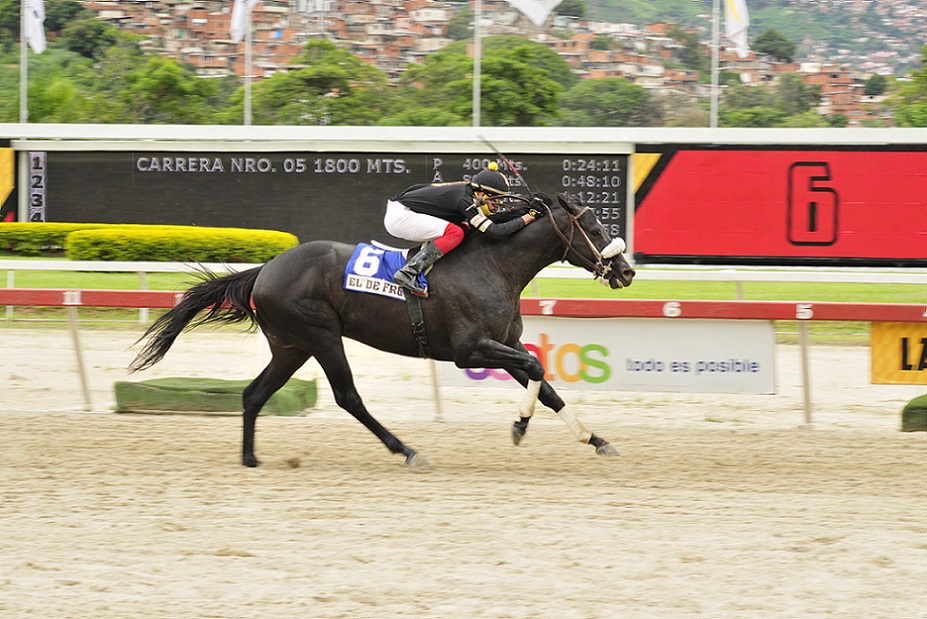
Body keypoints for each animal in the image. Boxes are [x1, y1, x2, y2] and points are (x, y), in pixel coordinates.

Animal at [129, 193, 636, 467]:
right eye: (595, 227)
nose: (628, 272)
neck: (494, 264)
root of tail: (266, 270)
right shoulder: (471, 350)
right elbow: (535, 365)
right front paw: (519, 427)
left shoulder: (502, 342)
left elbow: (544, 383)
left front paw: (597, 440)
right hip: (321, 336)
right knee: (347, 396)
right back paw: (406, 450)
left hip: (291, 345)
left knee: (254, 394)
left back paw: (250, 457)